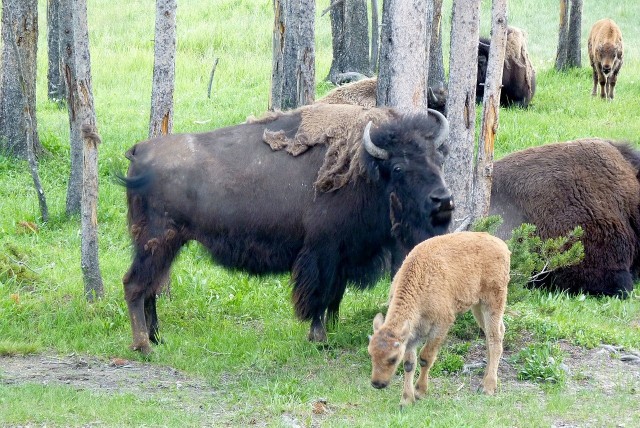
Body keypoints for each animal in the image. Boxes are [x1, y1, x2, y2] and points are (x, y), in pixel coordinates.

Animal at [120, 103, 456, 352]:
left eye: (438, 158)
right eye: (399, 167)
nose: (443, 201)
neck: (366, 170)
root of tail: (140, 150)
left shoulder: (343, 255)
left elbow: (335, 297)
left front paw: (333, 329)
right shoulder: (322, 252)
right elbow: (318, 296)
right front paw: (319, 338)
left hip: (165, 246)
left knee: (150, 288)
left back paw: (157, 338)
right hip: (157, 241)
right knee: (135, 285)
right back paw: (143, 346)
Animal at [364, 232, 510, 406]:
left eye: (393, 359)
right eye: (371, 354)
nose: (377, 383)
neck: (421, 279)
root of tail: (501, 245)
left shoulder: (441, 324)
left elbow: (425, 358)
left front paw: (419, 391)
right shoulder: (412, 333)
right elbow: (409, 363)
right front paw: (406, 400)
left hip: (493, 301)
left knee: (495, 338)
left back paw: (488, 387)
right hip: (478, 306)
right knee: (494, 333)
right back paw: (484, 382)